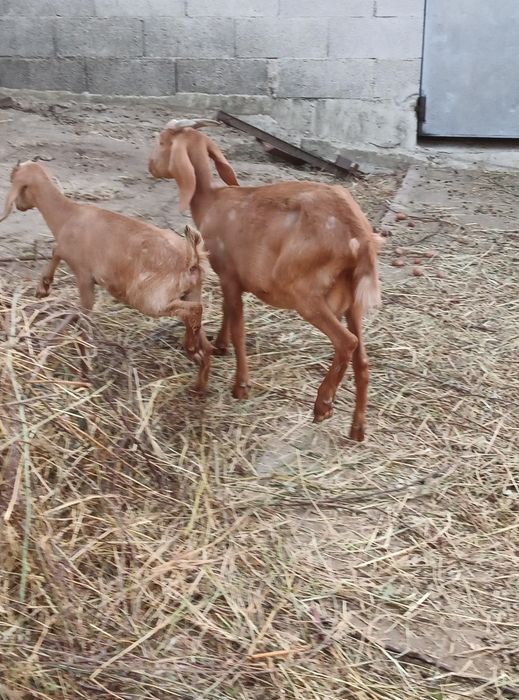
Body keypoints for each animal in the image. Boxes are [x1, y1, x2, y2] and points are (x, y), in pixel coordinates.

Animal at [0, 160, 212, 392]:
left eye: (14, 180)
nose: (19, 206)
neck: (69, 215)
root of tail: (191, 259)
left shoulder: (84, 275)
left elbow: (84, 318)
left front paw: (84, 372)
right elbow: (56, 251)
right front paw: (43, 287)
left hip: (150, 299)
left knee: (194, 311)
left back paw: (190, 348)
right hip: (191, 291)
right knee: (204, 337)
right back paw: (199, 379)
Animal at [148, 119, 382, 441]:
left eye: (162, 142)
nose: (150, 165)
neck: (211, 202)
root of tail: (358, 234)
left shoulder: (229, 274)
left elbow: (239, 327)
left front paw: (240, 385)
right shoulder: (231, 280)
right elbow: (228, 312)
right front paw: (220, 346)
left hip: (305, 293)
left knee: (346, 342)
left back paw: (323, 405)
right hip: (353, 300)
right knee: (363, 359)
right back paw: (357, 429)